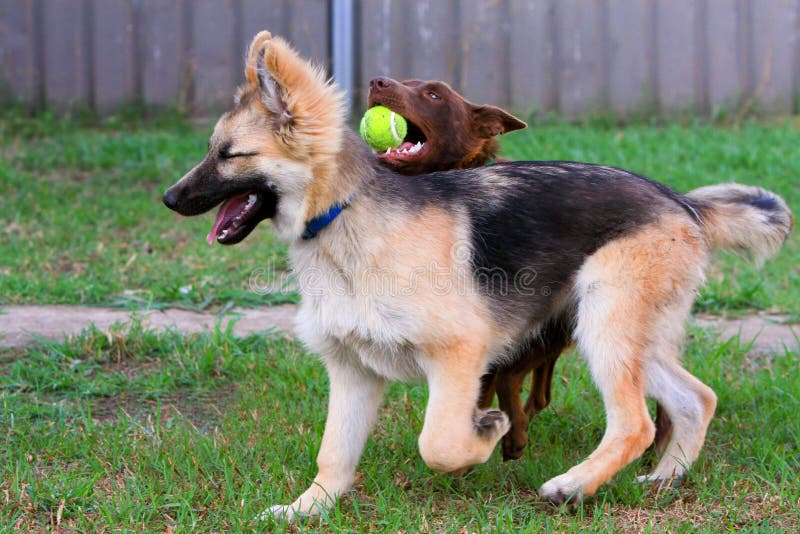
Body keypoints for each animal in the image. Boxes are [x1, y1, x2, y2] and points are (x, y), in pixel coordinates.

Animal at [162, 31, 792, 520]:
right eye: (213, 149)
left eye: (230, 155)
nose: (169, 199)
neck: (345, 218)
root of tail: (682, 202)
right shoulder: (351, 370)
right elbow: (333, 453)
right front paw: (308, 508)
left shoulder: (459, 355)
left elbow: (438, 442)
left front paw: (485, 434)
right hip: (628, 335)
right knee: (696, 400)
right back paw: (665, 479)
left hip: (605, 327)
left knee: (636, 421)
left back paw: (573, 486)